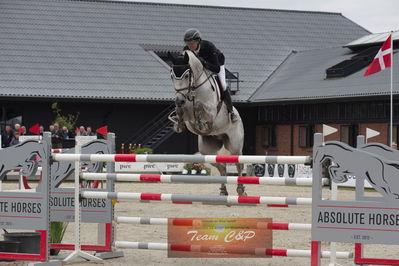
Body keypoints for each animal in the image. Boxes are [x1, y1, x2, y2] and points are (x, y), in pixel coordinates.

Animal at [167, 50, 245, 195]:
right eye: (172, 76)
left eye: (187, 75)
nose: (179, 99)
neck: (193, 89)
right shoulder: (186, 113)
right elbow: (180, 111)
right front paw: (178, 124)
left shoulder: (211, 111)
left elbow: (198, 106)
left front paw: (201, 124)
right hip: (206, 150)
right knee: (222, 167)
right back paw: (223, 191)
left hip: (235, 146)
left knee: (239, 164)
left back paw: (241, 189)